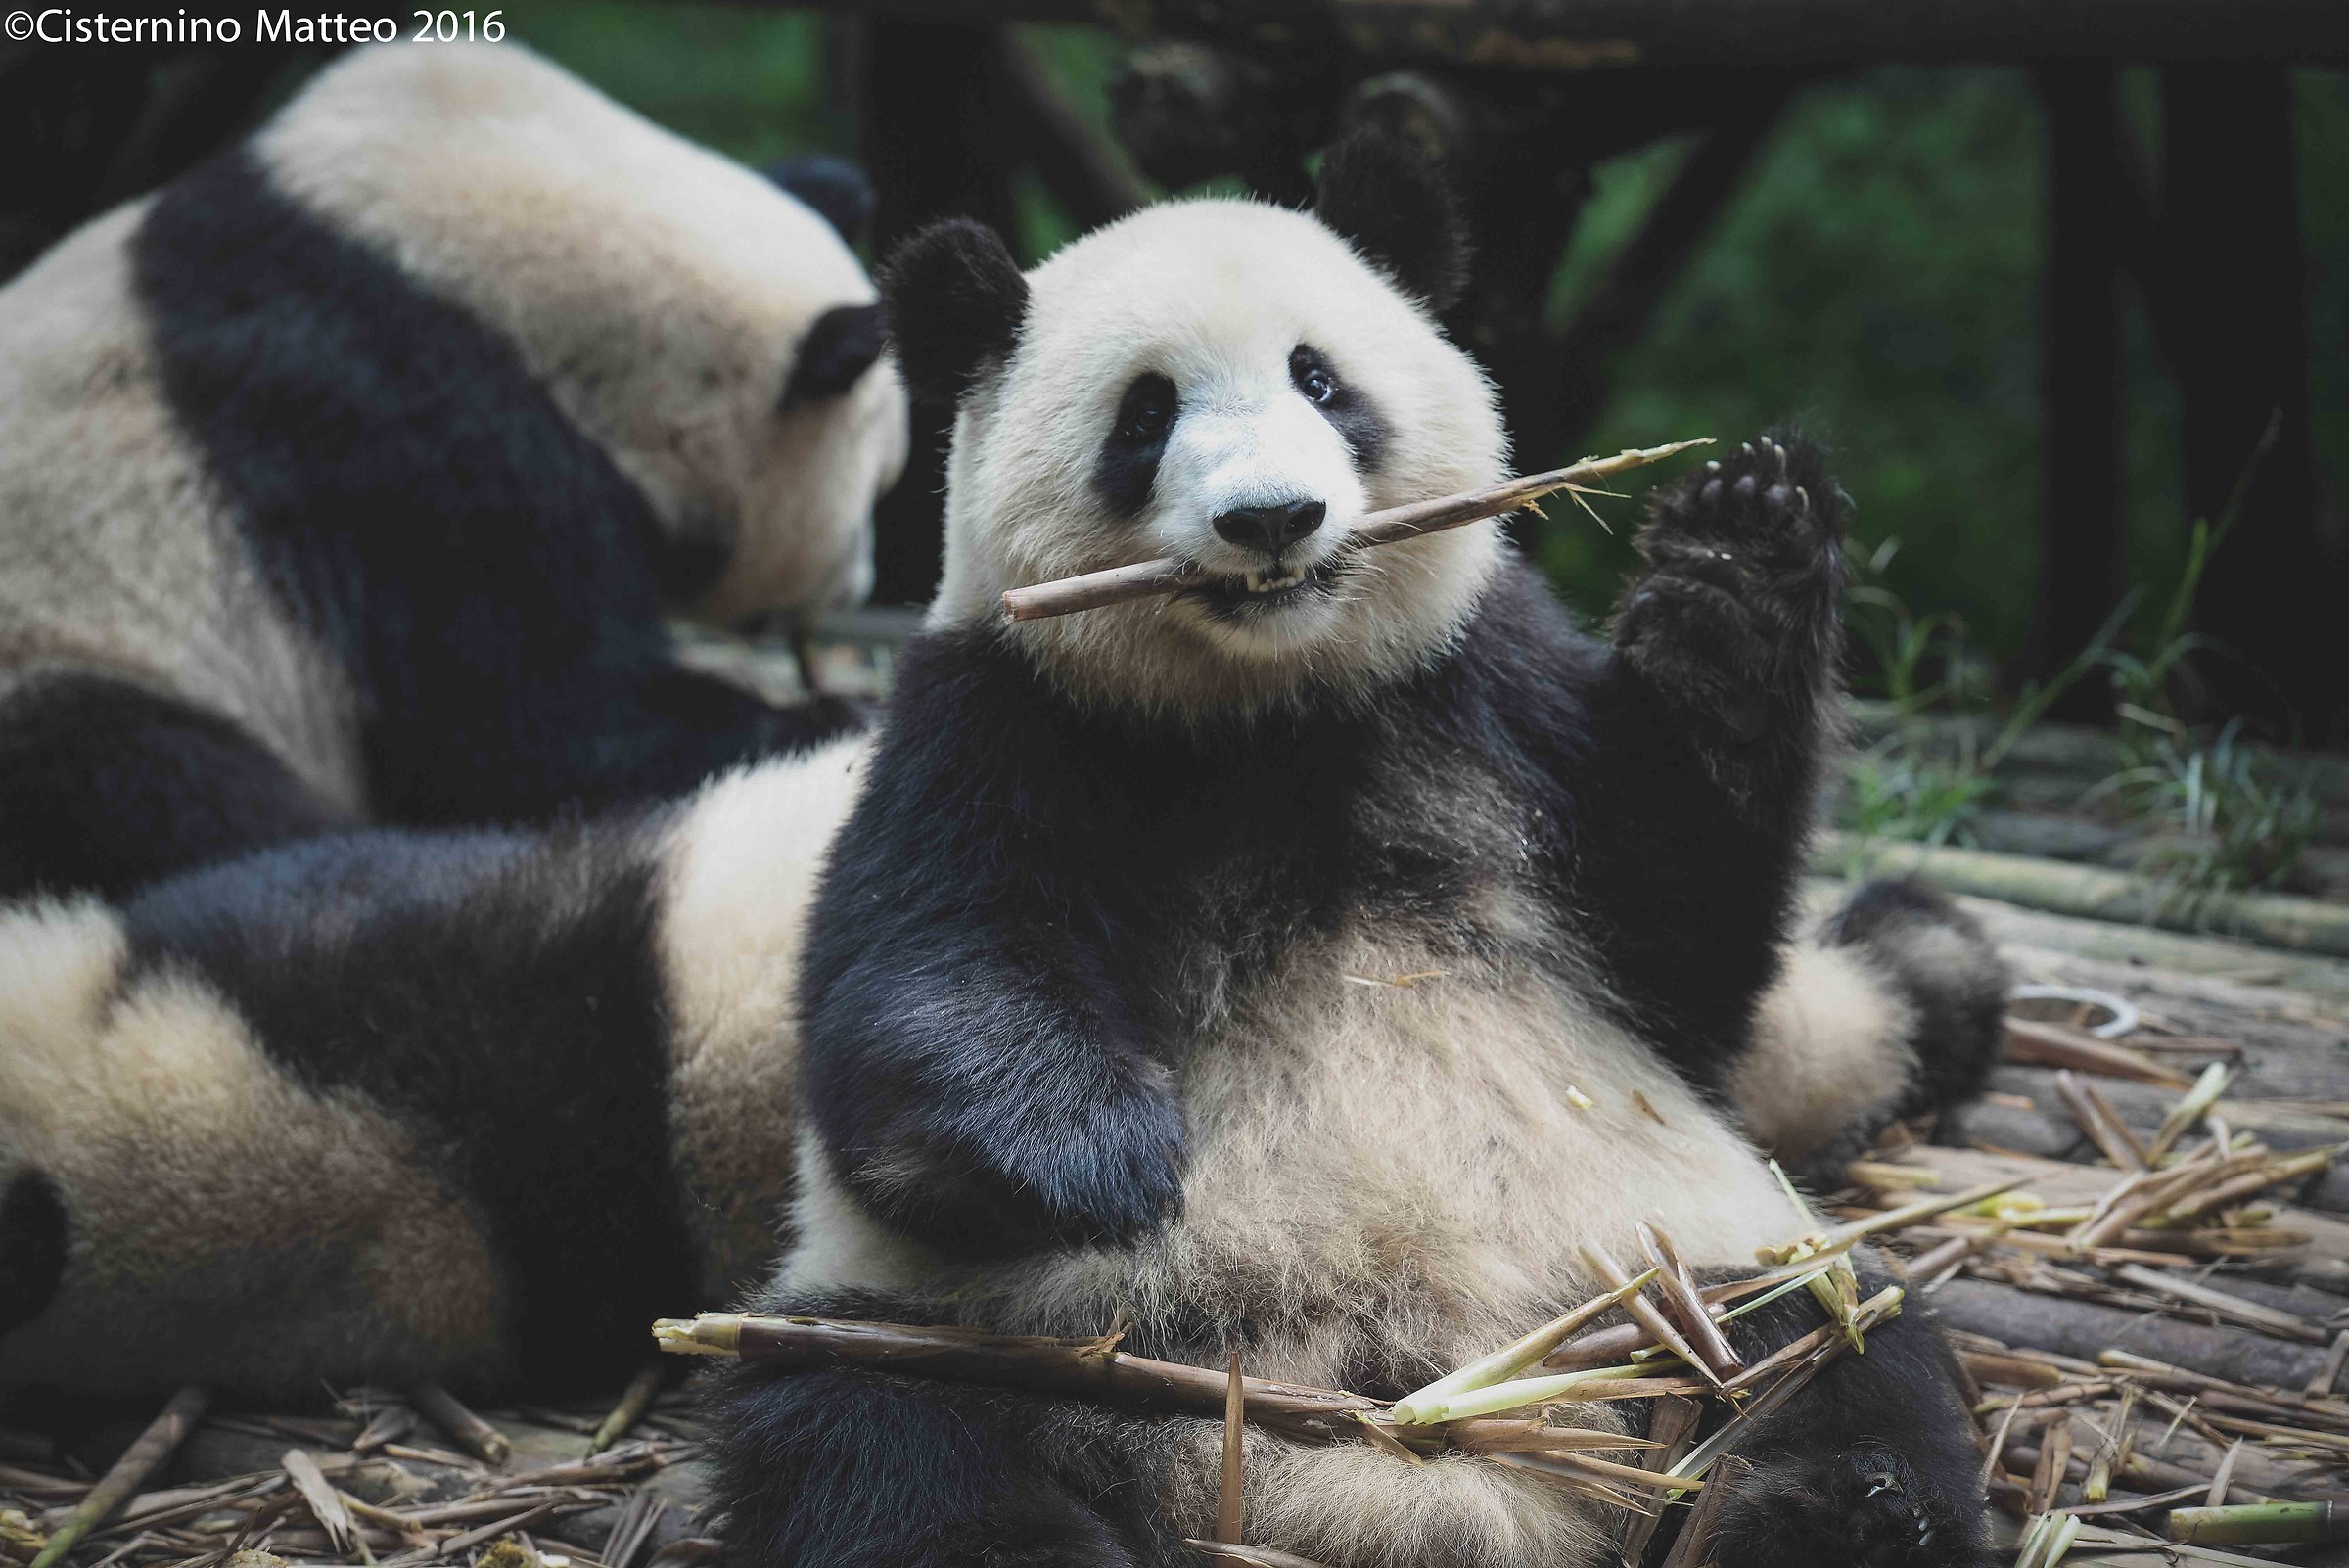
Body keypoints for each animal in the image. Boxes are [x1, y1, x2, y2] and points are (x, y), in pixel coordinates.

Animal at [0, 41, 908, 903]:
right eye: (872, 490)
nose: (859, 586)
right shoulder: (398, 420)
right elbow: (517, 721)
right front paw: (823, 716)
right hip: (93, 643)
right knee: (147, 787)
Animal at [0, 134, 2003, 1566]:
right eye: (1147, 415)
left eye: (1322, 378)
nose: (1273, 521)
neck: (1268, 716)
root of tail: (1409, 1479)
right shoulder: (995, 728)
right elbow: (918, 984)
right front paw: (1093, 1146)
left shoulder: (1482, 699)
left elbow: (1680, 937)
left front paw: (1740, 556)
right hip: (991, 1344)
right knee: (892, 1451)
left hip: (1646, 1280)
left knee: (1844, 1380)